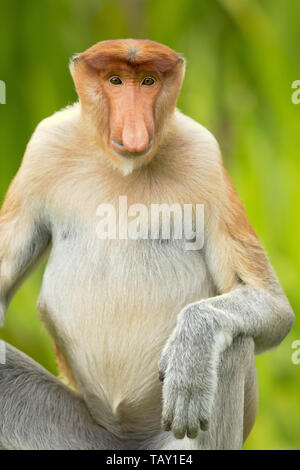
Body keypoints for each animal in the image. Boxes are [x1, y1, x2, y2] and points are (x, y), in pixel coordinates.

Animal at [0, 38, 296, 450]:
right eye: (115, 80)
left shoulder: (205, 155)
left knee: (232, 344)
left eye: (149, 82)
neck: (123, 167)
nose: (135, 132)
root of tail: (129, 441)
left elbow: (270, 304)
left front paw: (192, 349)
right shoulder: (41, 149)